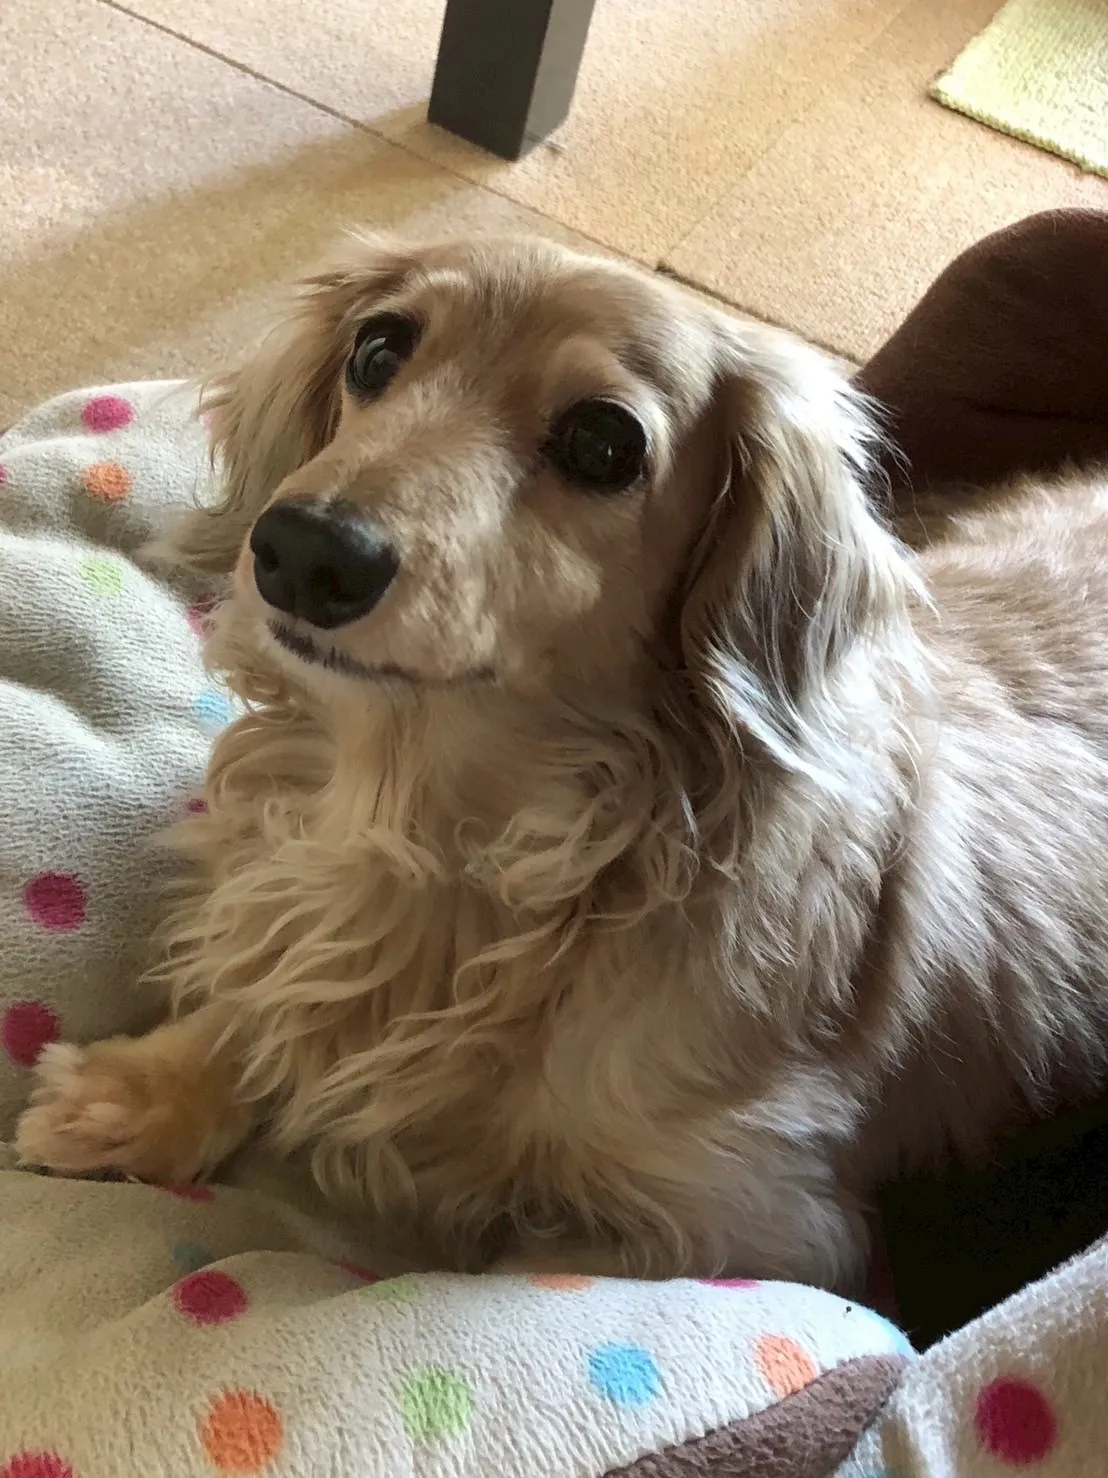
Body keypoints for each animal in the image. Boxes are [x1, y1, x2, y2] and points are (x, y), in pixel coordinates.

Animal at [15, 234, 1108, 1290]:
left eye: (603, 442)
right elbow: (257, 989)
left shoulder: (752, 1230)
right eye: (377, 351)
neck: (443, 834)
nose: (303, 550)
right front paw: (138, 1089)